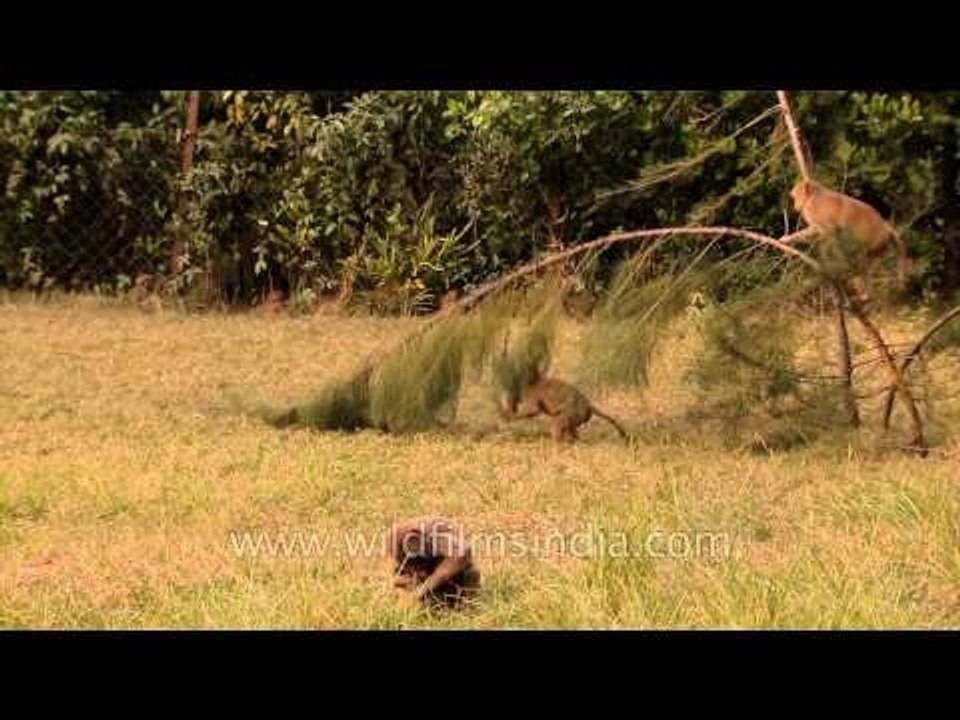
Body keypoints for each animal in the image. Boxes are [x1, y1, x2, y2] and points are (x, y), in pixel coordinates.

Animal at [498, 375, 630, 443]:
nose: (510, 398)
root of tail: (587, 403)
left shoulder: (533, 395)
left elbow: (533, 410)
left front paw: (508, 416)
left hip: (574, 413)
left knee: (557, 424)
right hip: (578, 417)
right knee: (572, 430)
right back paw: (574, 441)